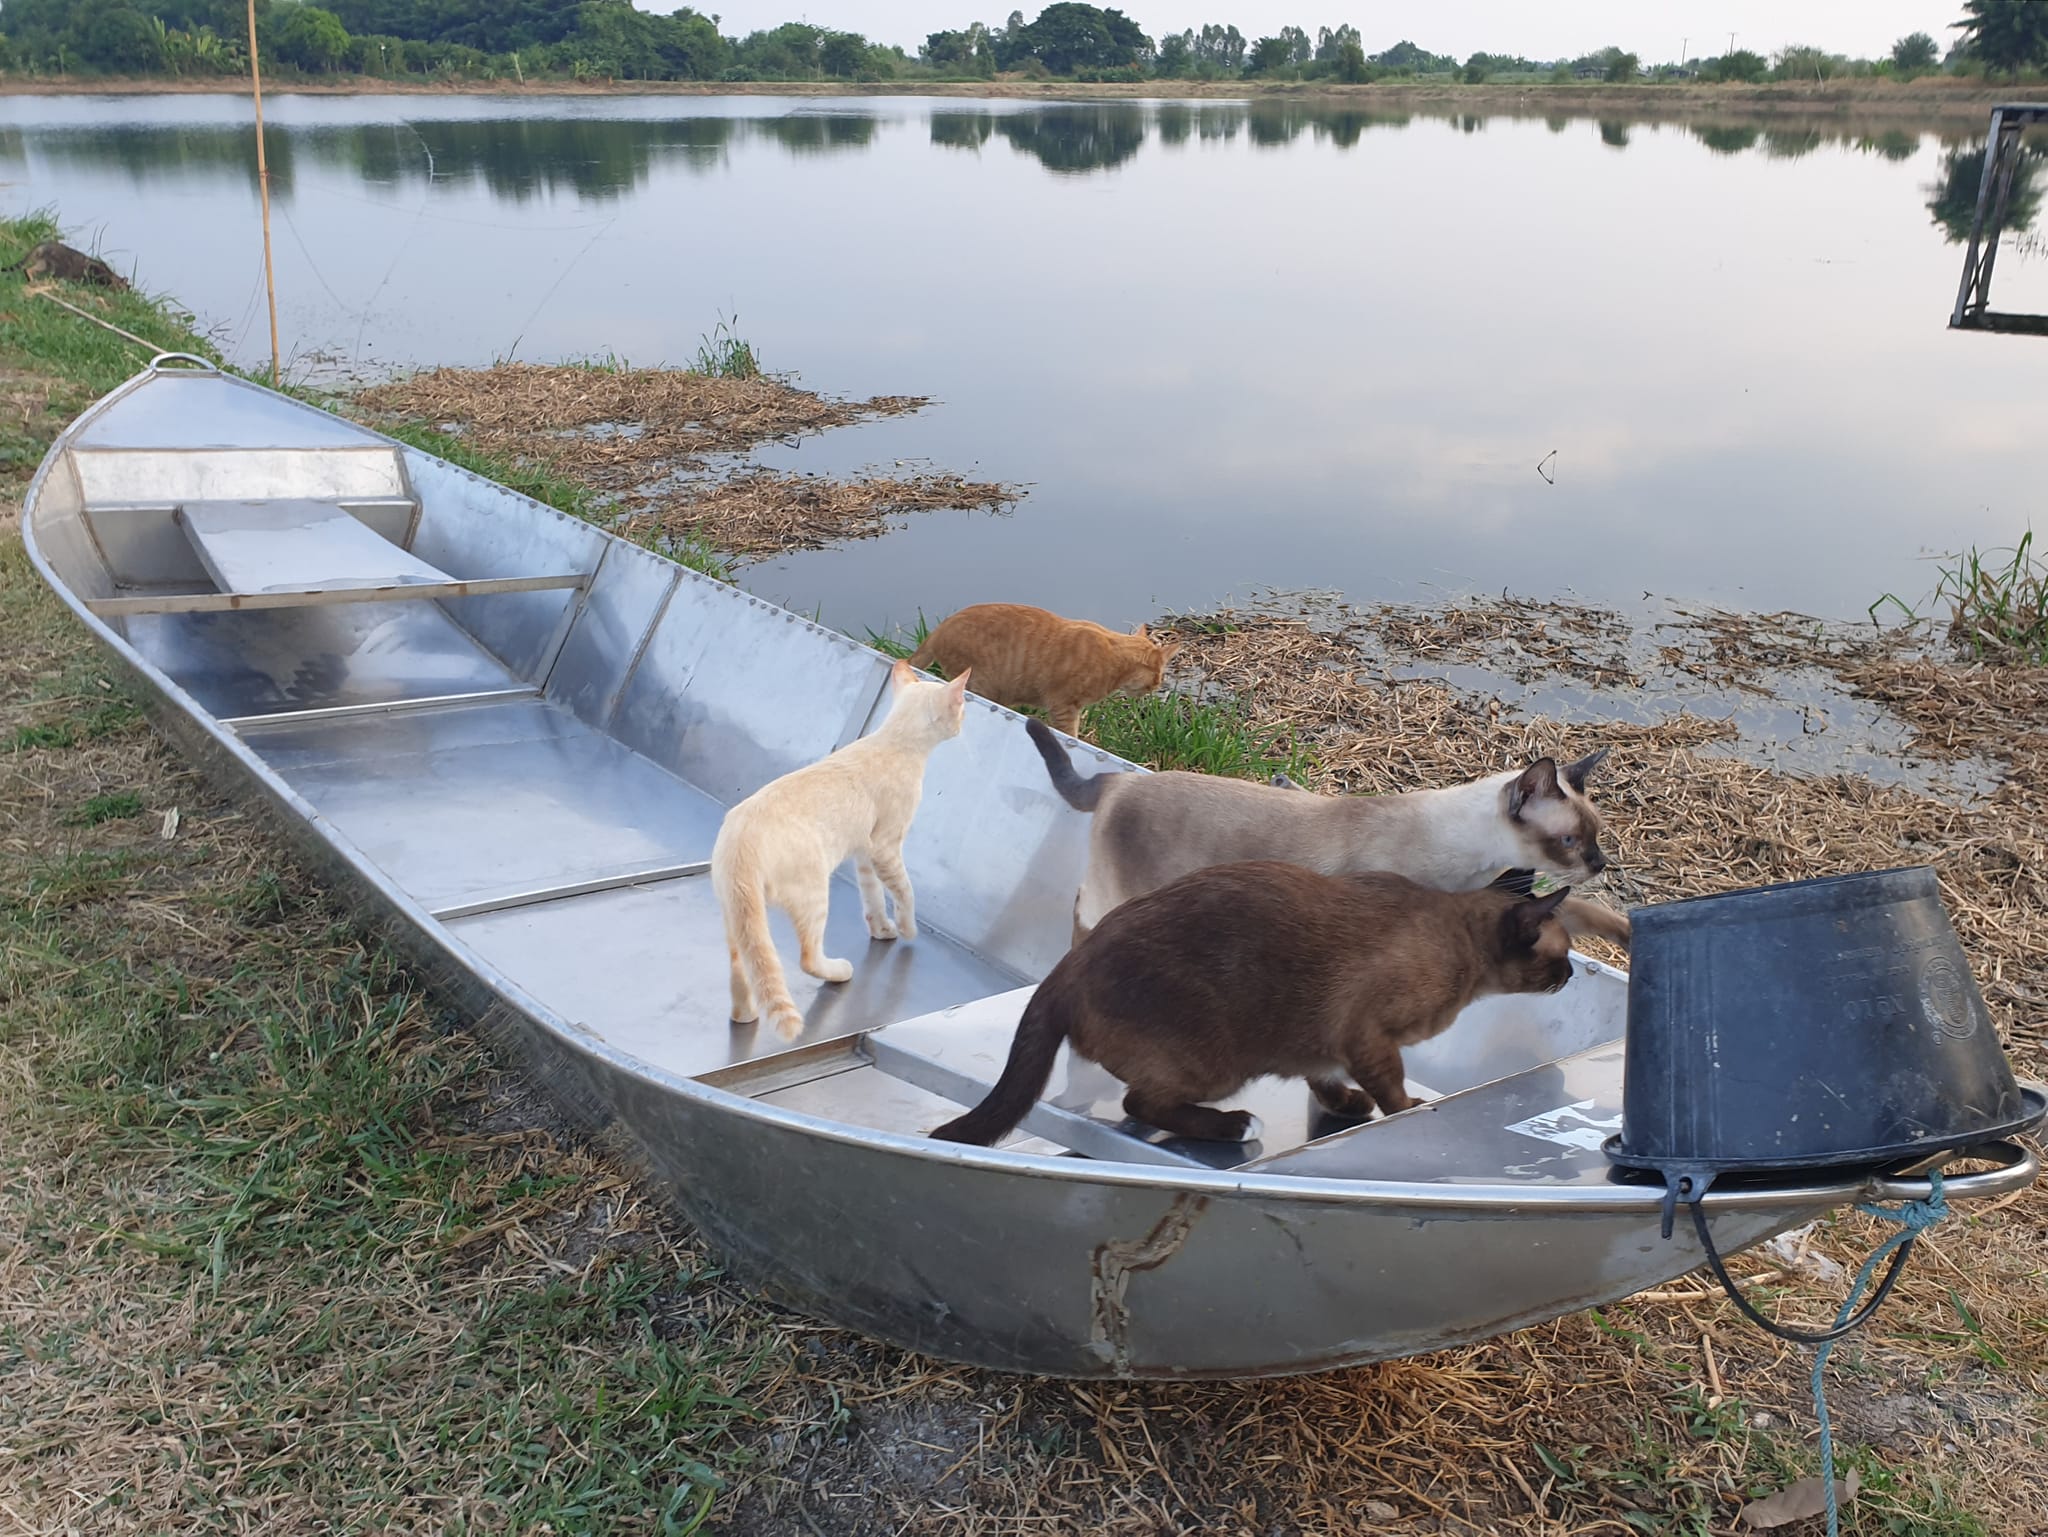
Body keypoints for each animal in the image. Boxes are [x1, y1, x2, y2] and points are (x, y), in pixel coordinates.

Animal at [712, 659, 970, 1041]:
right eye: (962, 706)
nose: (963, 724)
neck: (893, 741)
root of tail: (741, 844)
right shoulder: (886, 847)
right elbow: (905, 891)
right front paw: (907, 928)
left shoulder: (864, 851)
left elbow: (873, 895)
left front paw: (882, 930)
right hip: (815, 894)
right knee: (807, 958)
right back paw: (840, 971)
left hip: (737, 918)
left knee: (741, 965)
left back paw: (746, 1015)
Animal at [908, 603, 1178, 737]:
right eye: (1159, 677)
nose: (1156, 687)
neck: (1115, 661)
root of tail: (940, 629)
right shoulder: (1064, 707)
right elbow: (1070, 735)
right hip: (984, 686)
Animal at [931, 861, 1575, 1146]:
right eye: (1562, 954)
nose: (1571, 974)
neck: (1460, 948)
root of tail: (1065, 967)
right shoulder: (1369, 1036)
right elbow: (1393, 1089)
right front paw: (1409, 1109)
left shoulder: (1325, 1042)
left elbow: (1326, 1079)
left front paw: (1348, 1104)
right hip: (1216, 1065)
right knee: (1143, 1103)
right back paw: (1237, 1125)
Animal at [1024, 716, 1631, 947]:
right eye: (1570, 842)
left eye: (1598, 835)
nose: (1599, 864)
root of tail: (1117, 780)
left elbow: (1591, 914)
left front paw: (1630, 934)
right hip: (1116, 895)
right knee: (1083, 913)